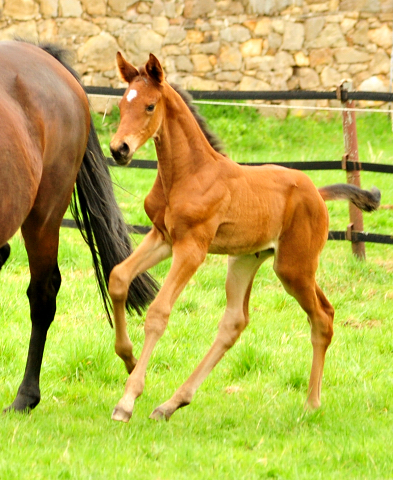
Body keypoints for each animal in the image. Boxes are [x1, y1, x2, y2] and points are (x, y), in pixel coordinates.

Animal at [108, 51, 378, 424]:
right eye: (122, 104)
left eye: (149, 106)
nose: (119, 149)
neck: (189, 172)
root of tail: (318, 194)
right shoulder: (163, 238)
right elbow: (118, 277)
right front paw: (128, 358)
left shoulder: (192, 248)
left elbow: (159, 312)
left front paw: (127, 399)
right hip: (246, 259)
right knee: (235, 321)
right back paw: (172, 404)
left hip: (294, 267)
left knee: (323, 317)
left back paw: (311, 403)